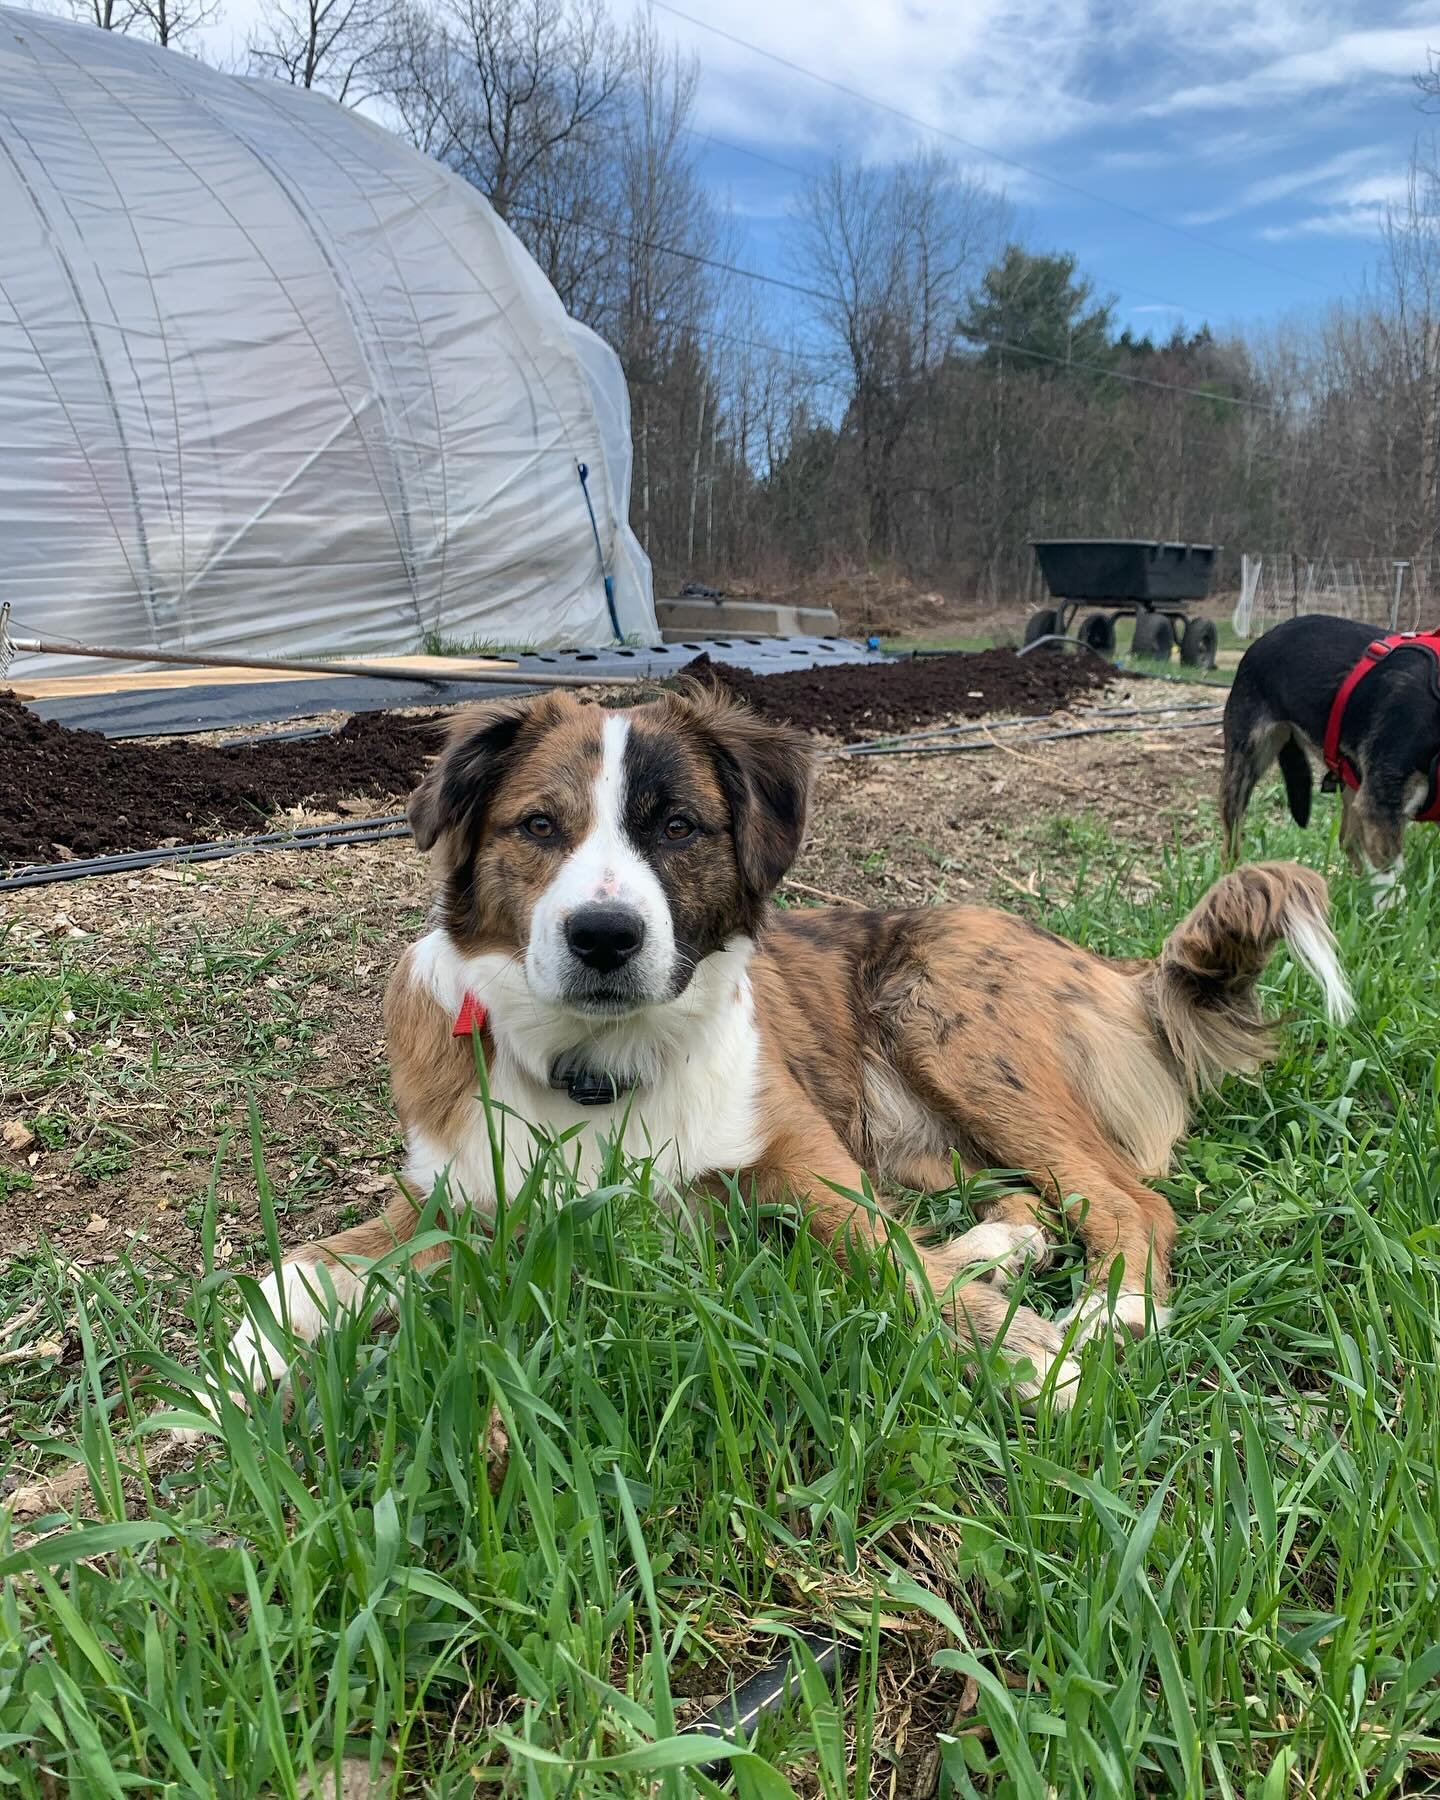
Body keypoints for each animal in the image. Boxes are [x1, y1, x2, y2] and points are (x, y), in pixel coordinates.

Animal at [202, 680, 1353, 1411]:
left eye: (678, 827)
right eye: (538, 827)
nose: (604, 937)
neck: (600, 1065)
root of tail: (1107, 966)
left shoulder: (805, 1161)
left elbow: (895, 1268)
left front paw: (1024, 1359)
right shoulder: (461, 1193)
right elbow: (309, 1265)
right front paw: (233, 1369)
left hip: (938, 1008)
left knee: (1125, 1199)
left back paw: (1108, 1310)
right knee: (1016, 1203)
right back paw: (1011, 1250)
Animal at [1224, 615, 1440, 900]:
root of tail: (1265, 636)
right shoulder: (1380, 808)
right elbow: (1389, 883)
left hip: (1353, 780)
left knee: (1348, 841)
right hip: (1245, 757)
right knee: (1231, 838)